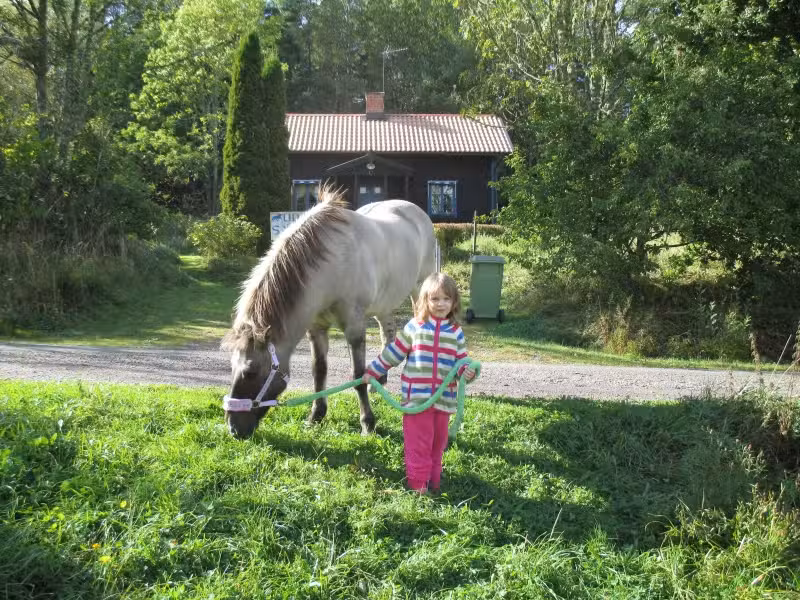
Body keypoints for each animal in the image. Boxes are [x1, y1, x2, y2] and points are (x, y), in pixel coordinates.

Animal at [221, 189, 437, 439]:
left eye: (251, 372)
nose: (234, 429)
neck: (332, 264)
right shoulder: (316, 328)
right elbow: (319, 371)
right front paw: (316, 416)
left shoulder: (354, 327)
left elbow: (357, 376)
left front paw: (368, 423)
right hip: (384, 302)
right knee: (388, 331)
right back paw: (380, 378)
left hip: (420, 290)